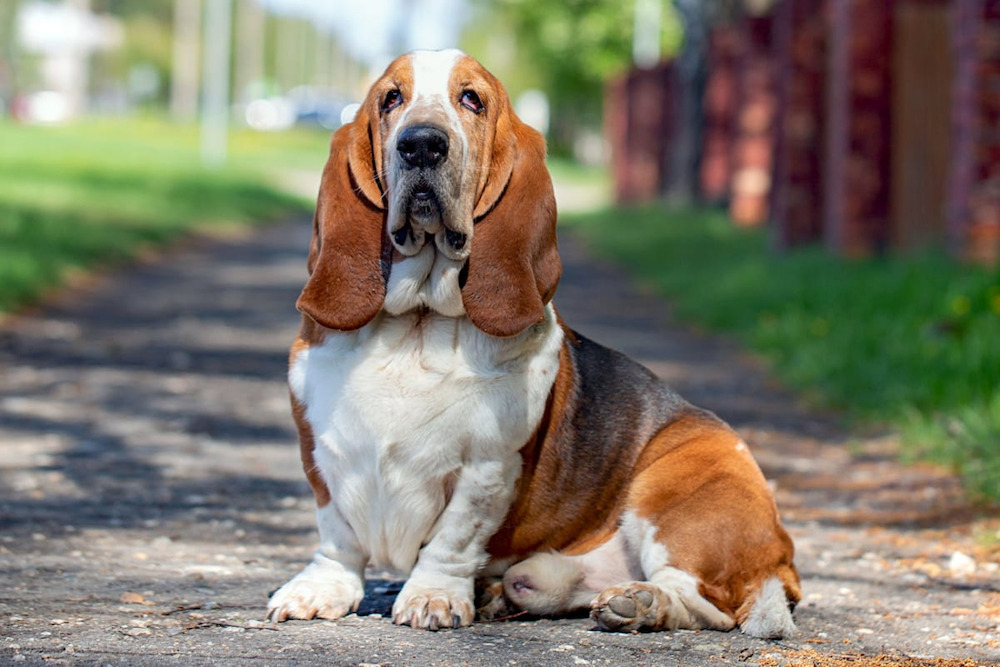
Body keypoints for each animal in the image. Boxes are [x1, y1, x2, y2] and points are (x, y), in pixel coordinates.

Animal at [264, 48, 796, 636]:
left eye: (472, 100)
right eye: (391, 99)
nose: (421, 143)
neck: (419, 325)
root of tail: (783, 556)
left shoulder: (488, 467)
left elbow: (453, 539)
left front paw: (432, 597)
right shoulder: (321, 450)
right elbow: (337, 536)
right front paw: (321, 589)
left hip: (673, 492)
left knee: (708, 604)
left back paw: (639, 603)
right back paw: (513, 592)